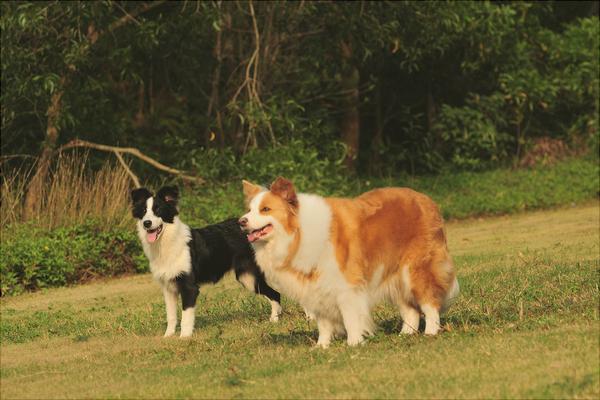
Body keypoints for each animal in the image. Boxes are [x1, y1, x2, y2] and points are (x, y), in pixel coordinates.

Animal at [131, 186, 282, 336]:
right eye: (143, 212)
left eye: (158, 210)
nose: (147, 223)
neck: (166, 243)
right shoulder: (168, 288)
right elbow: (171, 315)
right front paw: (168, 336)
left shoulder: (189, 287)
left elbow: (186, 316)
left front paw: (184, 337)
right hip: (247, 278)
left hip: (250, 278)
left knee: (276, 293)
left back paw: (274, 320)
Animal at [239, 178, 460, 346]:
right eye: (249, 210)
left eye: (265, 209)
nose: (241, 221)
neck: (297, 233)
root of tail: (427, 200)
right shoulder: (315, 286)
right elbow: (323, 321)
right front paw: (322, 346)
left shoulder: (345, 283)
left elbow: (350, 315)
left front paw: (353, 343)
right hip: (393, 273)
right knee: (410, 309)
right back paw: (405, 334)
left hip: (415, 270)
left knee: (429, 302)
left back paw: (430, 332)